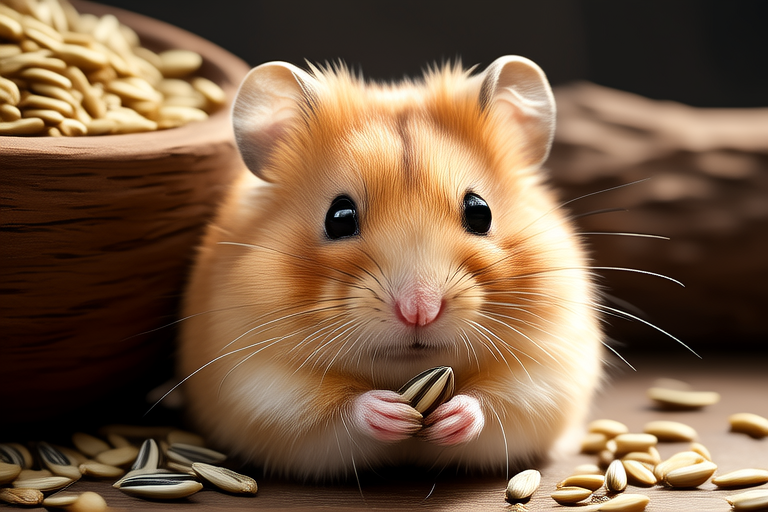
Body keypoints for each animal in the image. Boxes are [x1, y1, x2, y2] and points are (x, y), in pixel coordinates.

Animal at [179, 55, 604, 480]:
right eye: (339, 217)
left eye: (480, 212)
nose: (419, 311)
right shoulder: (261, 387)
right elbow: (337, 409)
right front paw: (391, 413)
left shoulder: (549, 372)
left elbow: (496, 402)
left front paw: (451, 418)